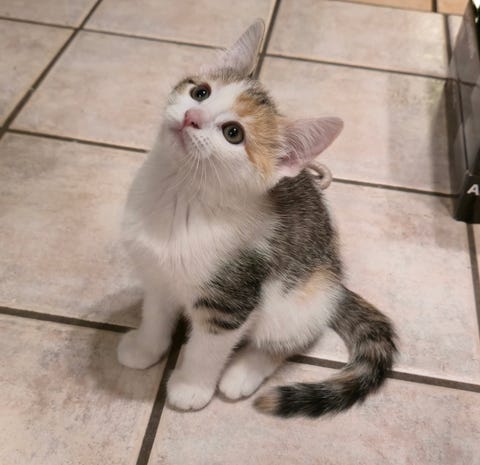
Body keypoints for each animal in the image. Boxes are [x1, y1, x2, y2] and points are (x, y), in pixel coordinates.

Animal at [117, 19, 397, 418]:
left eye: (233, 133)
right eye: (200, 92)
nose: (191, 117)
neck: (180, 195)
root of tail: (337, 284)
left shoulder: (232, 298)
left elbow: (208, 348)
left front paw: (190, 387)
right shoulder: (157, 275)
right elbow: (155, 314)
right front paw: (145, 349)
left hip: (299, 299)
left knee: (288, 340)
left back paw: (242, 373)